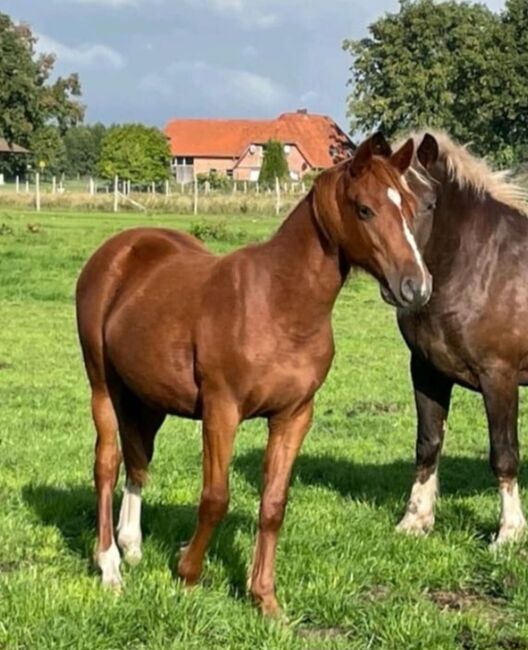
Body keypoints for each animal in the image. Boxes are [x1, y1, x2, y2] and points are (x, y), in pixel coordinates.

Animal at [78, 132, 432, 612]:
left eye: (411, 207)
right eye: (365, 209)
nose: (417, 287)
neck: (279, 303)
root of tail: (117, 252)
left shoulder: (294, 416)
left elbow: (274, 504)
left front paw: (265, 599)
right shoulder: (221, 411)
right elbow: (215, 498)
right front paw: (188, 573)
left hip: (148, 399)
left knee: (138, 461)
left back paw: (132, 546)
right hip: (104, 389)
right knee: (107, 465)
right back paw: (110, 567)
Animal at [386, 129, 528, 544]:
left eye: (429, 203)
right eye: (366, 206)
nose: (406, 284)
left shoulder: (499, 376)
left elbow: (504, 452)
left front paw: (509, 532)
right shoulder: (427, 371)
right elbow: (428, 444)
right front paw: (415, 520)